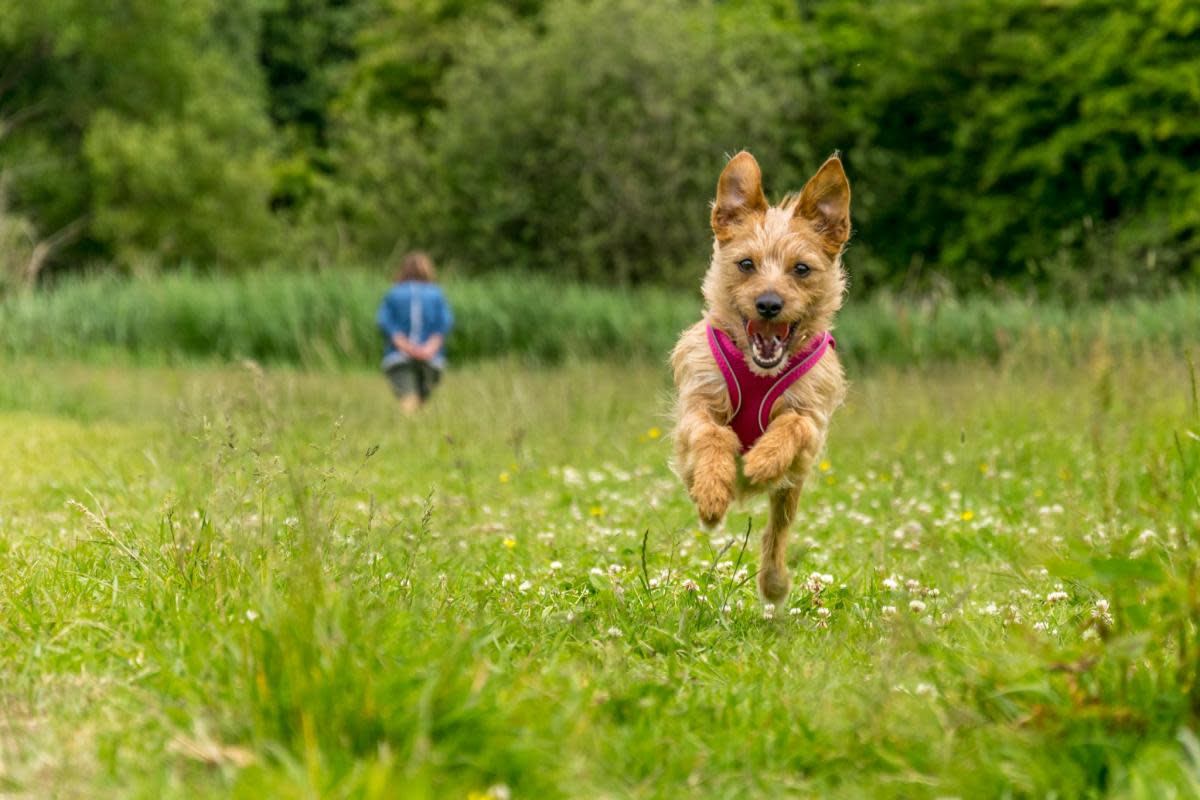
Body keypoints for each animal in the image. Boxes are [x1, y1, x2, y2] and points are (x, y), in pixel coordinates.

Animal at [672, 149, 849, 604]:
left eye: (801, 269)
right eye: (746, 264)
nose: (769, 304)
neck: (760, 371)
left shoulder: (812, 423)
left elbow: (793, 425)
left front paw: (763, 459)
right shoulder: (696, 406)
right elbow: (712, 433)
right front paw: (713, 491)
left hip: (791, 490)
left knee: (777, 529)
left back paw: (774, 581)